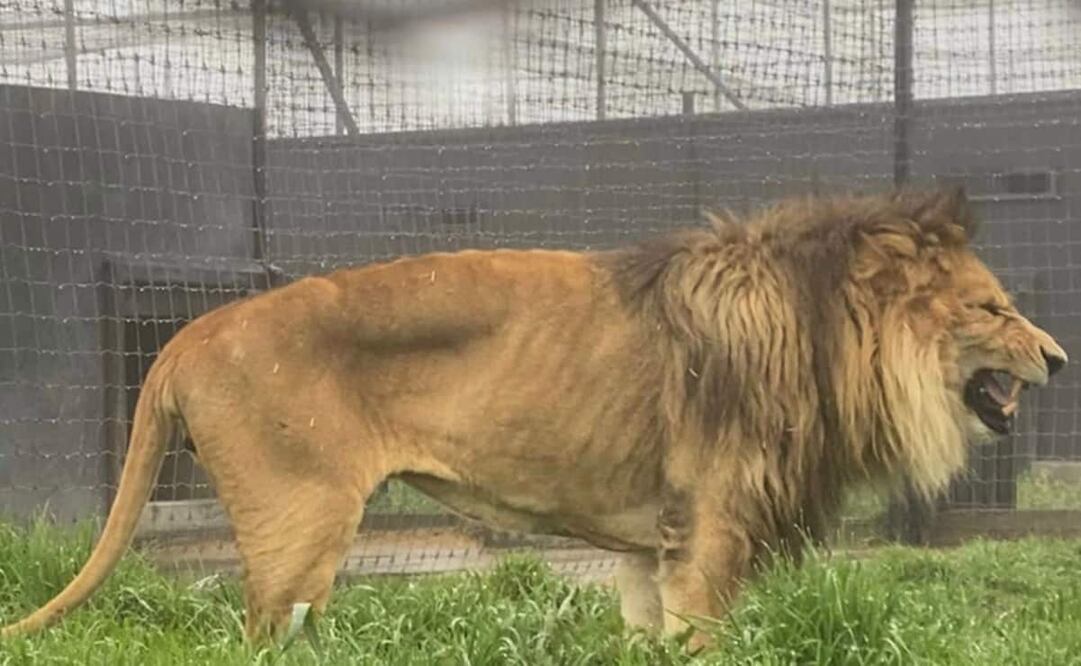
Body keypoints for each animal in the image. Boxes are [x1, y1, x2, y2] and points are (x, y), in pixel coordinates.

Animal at [1, 187, 1067, 651]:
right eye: (991, 308)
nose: (1058, 359)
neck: (820, 333)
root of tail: (189, 332)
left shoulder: (652, 547)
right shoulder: (711, 533)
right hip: (301, 526)